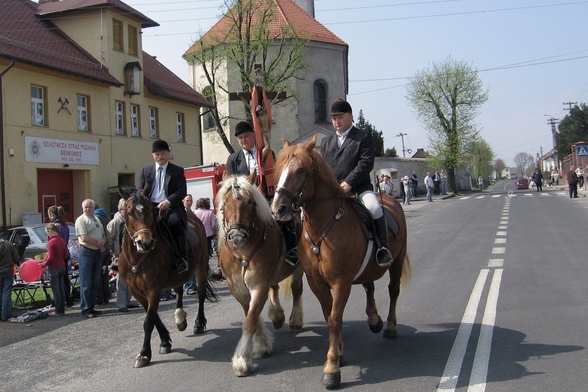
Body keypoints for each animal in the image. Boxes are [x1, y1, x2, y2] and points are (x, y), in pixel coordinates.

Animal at [118, 188, 217, 370]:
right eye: (128, 212)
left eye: (151, 211)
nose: (145, 243)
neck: (137, 258)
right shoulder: (137, 291)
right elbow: (154, 317)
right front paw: (164, 341)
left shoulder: (153, 290)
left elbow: (149, 321)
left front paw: (144, 354)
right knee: (179, 290)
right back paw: (180, 319)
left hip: (201, 266)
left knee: (200, 294)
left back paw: (198, 324)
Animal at [217, 174, 306, 376]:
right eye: (225, 203)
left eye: (250, 202)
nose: (237, 236)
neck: (242, 252)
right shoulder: (238, 290)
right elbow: (251, 316)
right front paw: (261, 345)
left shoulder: (258, 286)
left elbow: (250, 320)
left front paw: (242, 360)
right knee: (274, 288)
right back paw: (277, 315)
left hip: (298, 268)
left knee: (296, 290)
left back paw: (295, 321)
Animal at [270, 136, 408, 388]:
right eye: (278, 169)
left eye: (300, 170)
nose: (277, 209)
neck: (323, 226)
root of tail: (390, 197)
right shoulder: (316, 282)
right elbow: (329, 317)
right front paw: (339, 353)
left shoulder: (341, 281)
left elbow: (335, 319)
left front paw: (332, 368)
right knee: (369, 286)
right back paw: (374, 320)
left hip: (397, 261)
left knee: (393, 290)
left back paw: (390, 327)